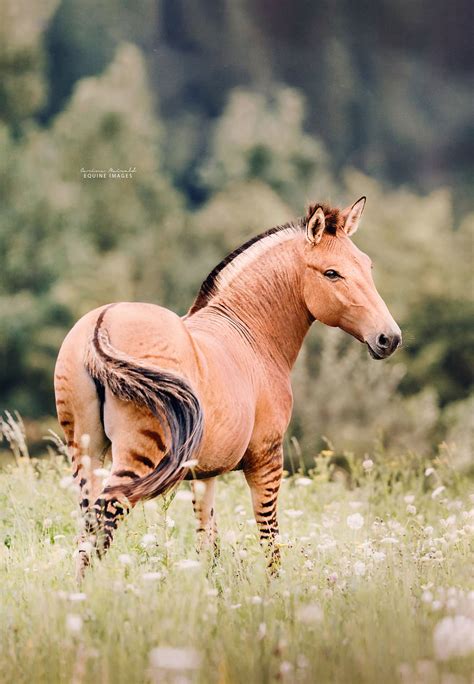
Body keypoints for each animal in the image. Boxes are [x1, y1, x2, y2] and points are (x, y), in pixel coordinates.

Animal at [54, 196, 400, 576]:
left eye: (368, 266)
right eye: (332, 273)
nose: (390, 338)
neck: (250, 333)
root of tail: (102, 323)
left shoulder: (204, 472)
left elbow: (208, 541)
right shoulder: (266, 458)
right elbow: (270, 539)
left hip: (84, 449)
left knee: (87, 524)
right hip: (136, 454)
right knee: (103, 520)